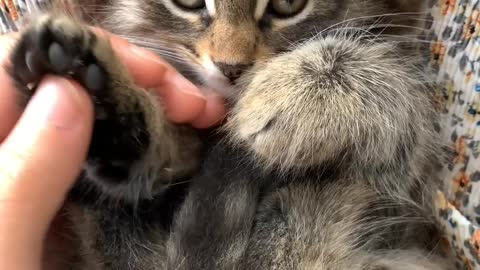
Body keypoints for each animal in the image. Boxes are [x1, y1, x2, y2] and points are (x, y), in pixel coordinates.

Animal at [6, 0, 454, 268]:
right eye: (188, 2)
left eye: (288, 3)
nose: (232, 66)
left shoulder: (405, 192)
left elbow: (396, 96)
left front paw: (295, 91)